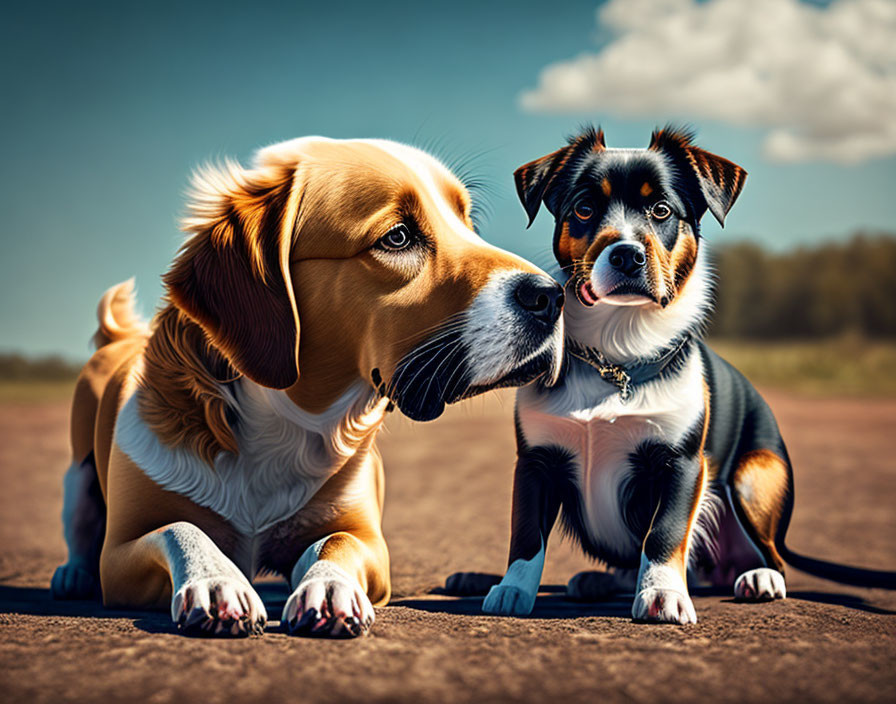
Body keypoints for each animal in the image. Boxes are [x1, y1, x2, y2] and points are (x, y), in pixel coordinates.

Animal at [452, 125, 892, 620]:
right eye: (584, 208)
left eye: (661, 210)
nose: (626, 255)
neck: (618, 355)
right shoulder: (535, 461)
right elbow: (526, 534)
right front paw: (512, 589)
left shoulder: (679, 463)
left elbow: (663, 534)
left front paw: (661, 594)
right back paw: (597, 581)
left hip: (755, 474)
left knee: (770, 553)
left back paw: (759, 577)